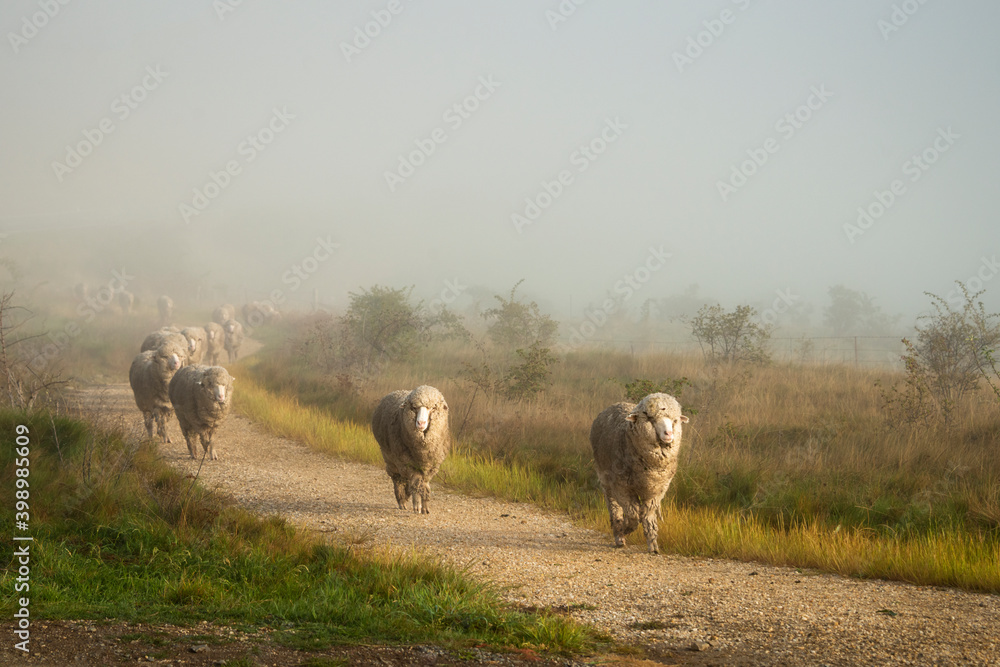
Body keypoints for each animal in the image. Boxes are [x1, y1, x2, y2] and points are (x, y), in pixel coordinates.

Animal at [370, 385, 451, 514]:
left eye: (433, 407)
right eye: (414, 407)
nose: (420, 423)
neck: (422, 450)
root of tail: (397, 390)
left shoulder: (430, 465)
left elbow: (424, 484)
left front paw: (425, 506)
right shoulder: (407, 463)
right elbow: (416, 482)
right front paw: (417, 505)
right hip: (390, 457)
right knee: (398, 479)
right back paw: (402, 500)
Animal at [590, 393, 690, 554]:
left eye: (675, 420)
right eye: (650, 418)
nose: (669, 434)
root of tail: (617, 403)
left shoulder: (656, 491)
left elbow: (647, 515)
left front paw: (653, 545)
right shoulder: (621, 487)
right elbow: (633, 513)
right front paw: (625, 529)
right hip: (606, 479)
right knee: (613, 506)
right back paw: (618, 533)